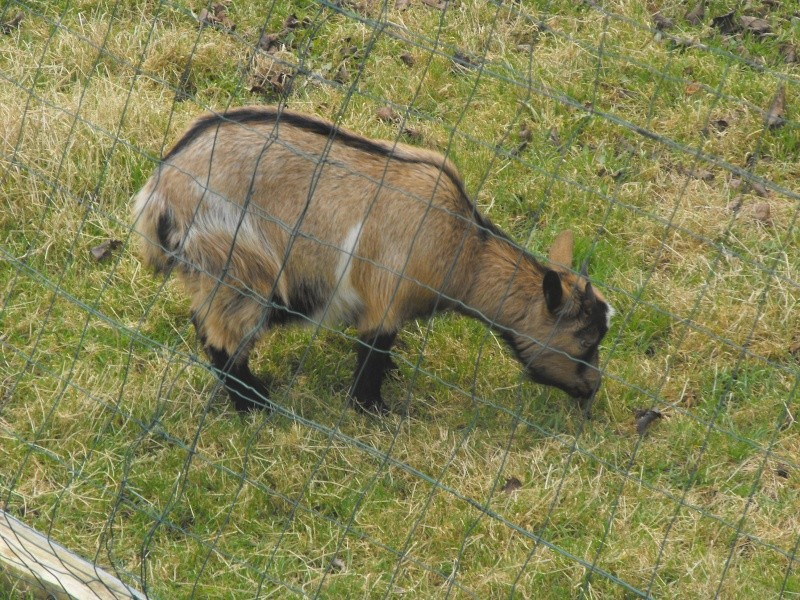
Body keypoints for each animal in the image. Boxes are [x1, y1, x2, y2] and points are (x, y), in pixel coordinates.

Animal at [131, 105, 612, 412]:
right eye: (586, 343)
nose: (593, 387)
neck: (464, 251)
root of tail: (161, 187)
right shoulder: (386, 298)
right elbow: (371, 357)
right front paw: (374, 409)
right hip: (243, 268)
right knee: (222, 338)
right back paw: (255, 403)